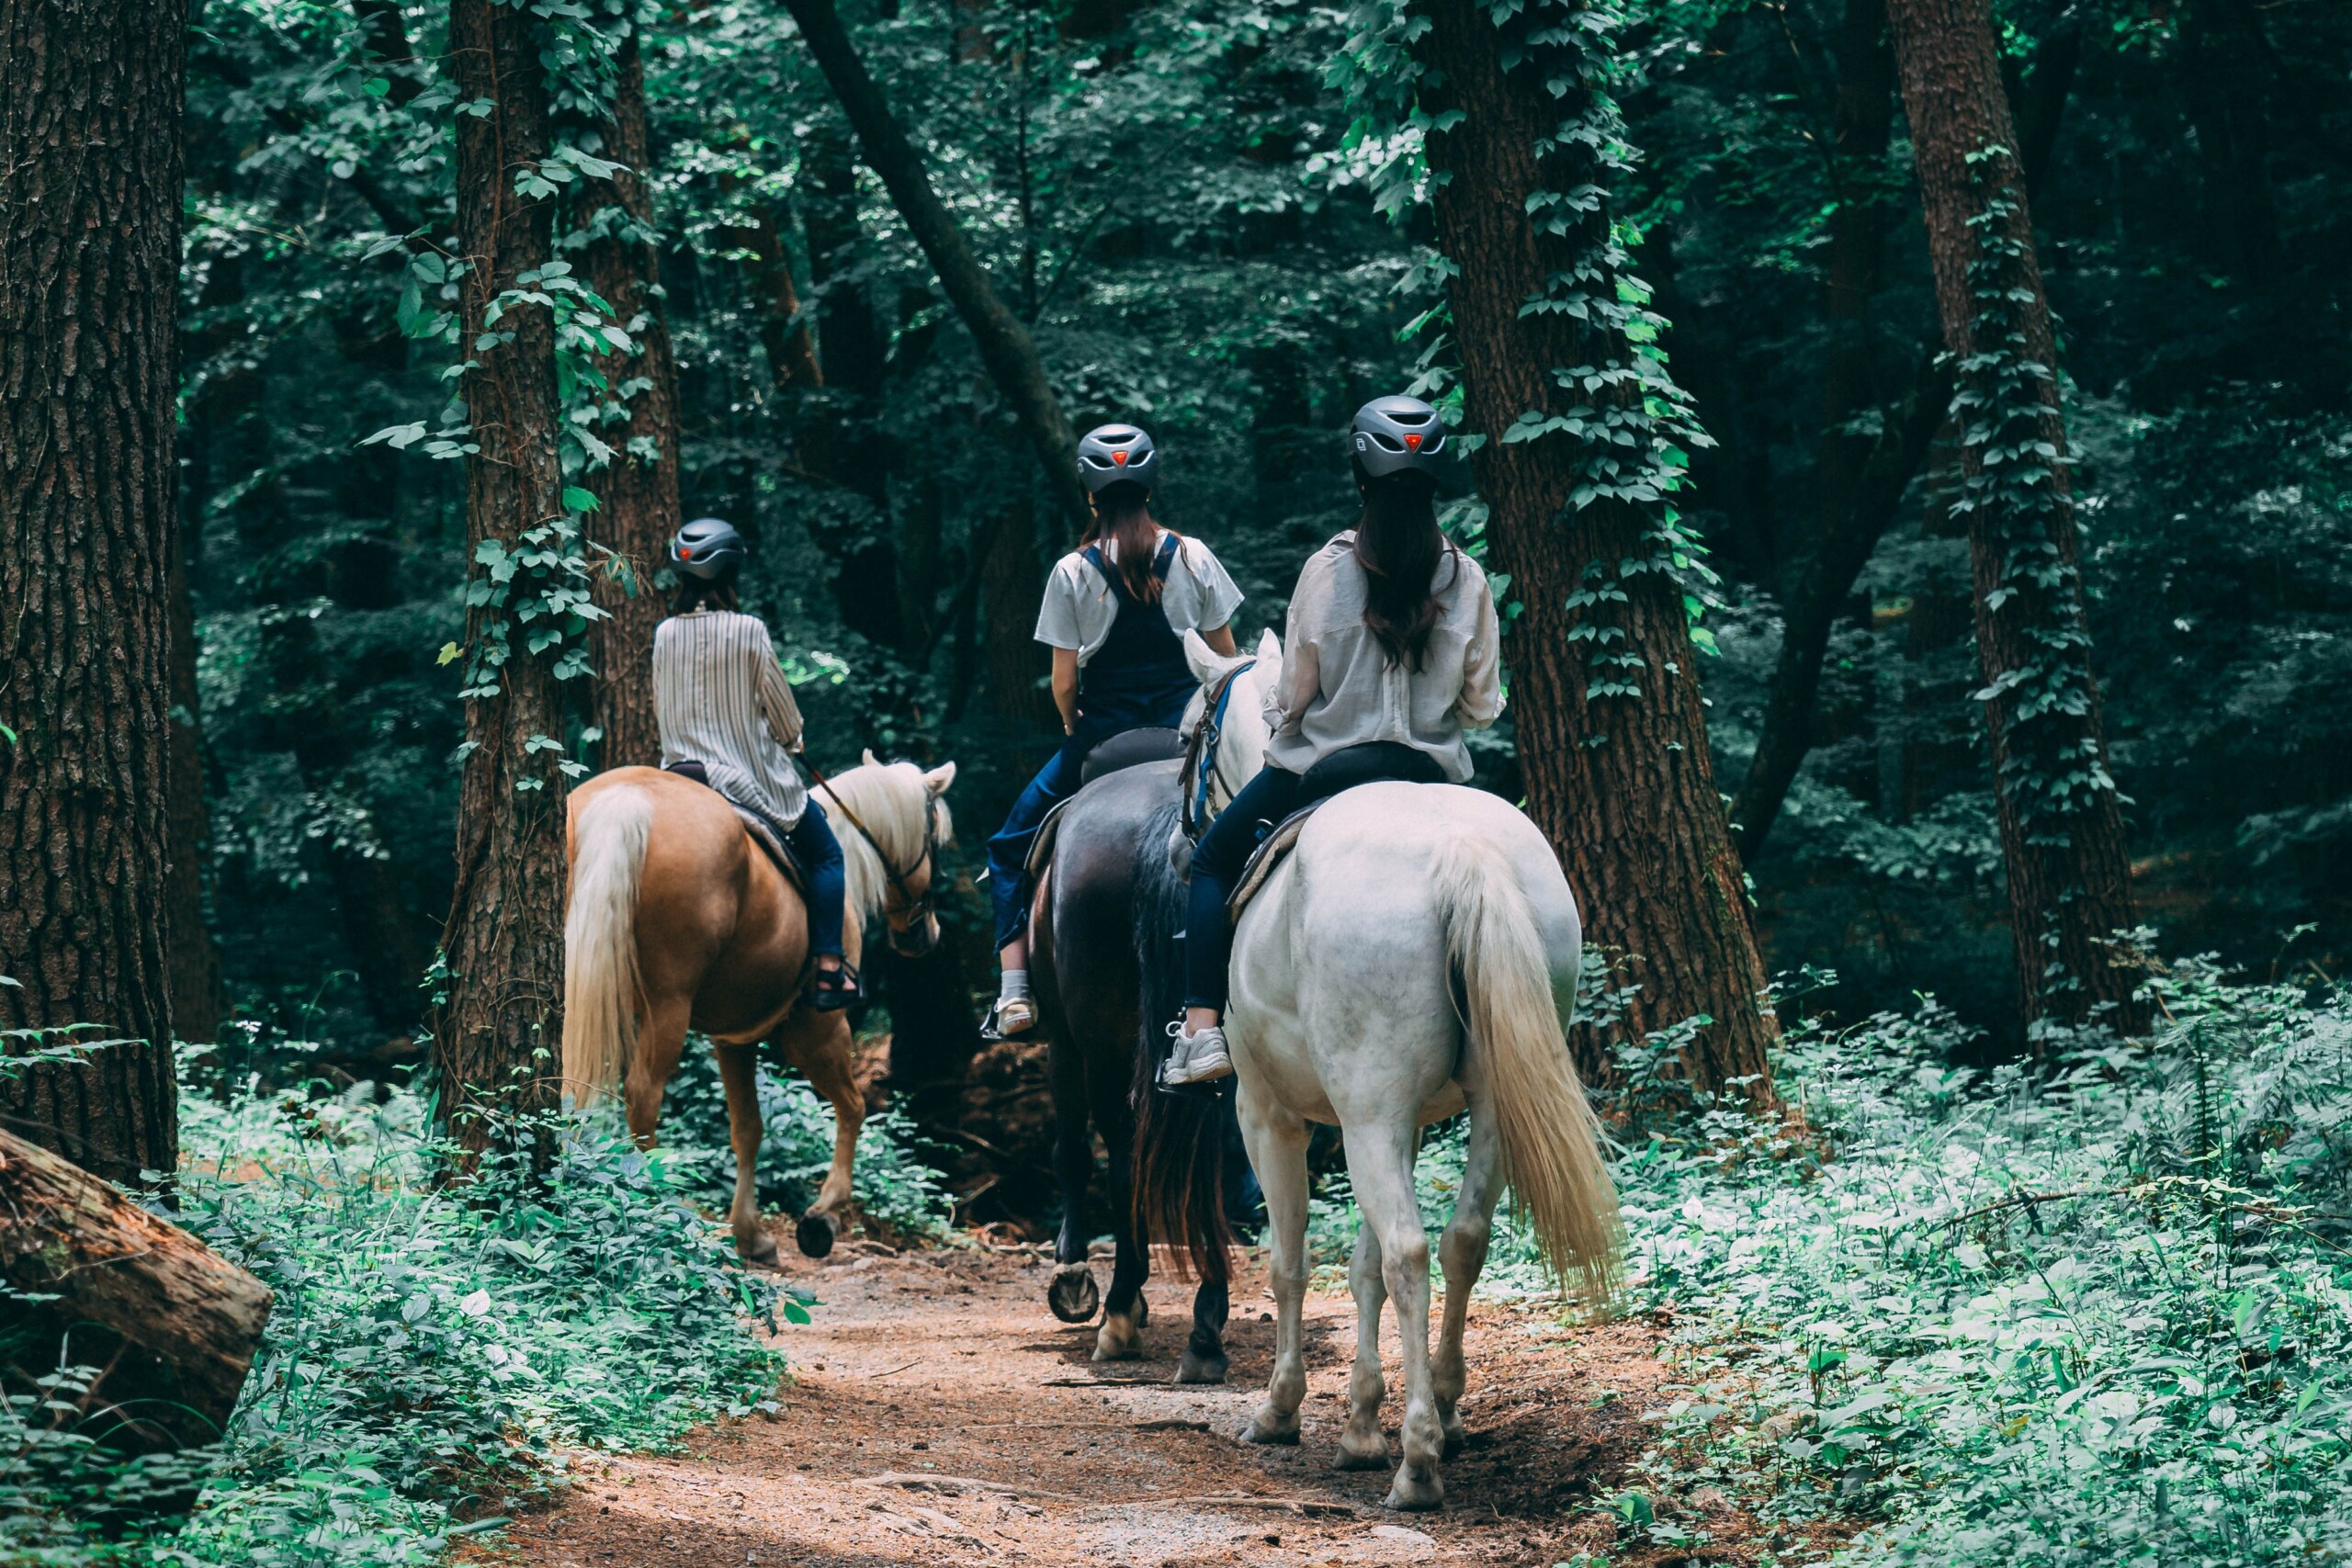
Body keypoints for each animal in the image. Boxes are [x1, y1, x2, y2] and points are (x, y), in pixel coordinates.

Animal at [560, 751, 955, 1259]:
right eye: (935, 841)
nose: (925, 934)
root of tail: (626, 799)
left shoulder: (733, 1039)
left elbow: (747, 1128)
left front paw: (750, 1233)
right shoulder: (820, 1031)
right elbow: (852, 1108)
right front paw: (823, 1216)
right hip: (669, 1006)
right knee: (643, 1096)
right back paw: (652, 1207)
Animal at [1176, 629, 1618, 1514]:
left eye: (1184, 737)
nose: (1180, 841)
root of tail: (1460, 849)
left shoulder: (1270, 1115)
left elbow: (1293, 1261)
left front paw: (1283, 1409)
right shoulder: (1396, 1121)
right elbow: (1362, 1264)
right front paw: (1357, 1426)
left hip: (1362, 1116)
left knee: (1413, 1251)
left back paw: (1417, 1460)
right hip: (1475, 1110)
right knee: (1461, 1240)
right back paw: (1441, 1410)